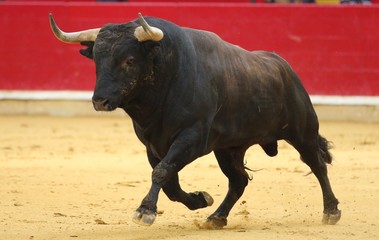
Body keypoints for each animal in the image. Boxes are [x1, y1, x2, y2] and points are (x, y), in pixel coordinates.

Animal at [49, 13, 342, 229]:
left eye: (129, 60)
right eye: (97, 60)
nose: (100, 101)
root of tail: (284, 67)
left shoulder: (192, 138)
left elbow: (162, 172)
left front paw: (145, 211)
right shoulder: (152, 145)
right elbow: (169, 181)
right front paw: (200, 199)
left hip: (302, 131)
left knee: (317, 164)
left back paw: (331, 211)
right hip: (229, 149)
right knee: (238, 181)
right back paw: (216, 217)